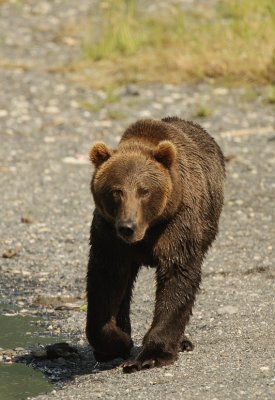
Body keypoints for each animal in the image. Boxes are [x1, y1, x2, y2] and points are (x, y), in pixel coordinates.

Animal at [87, 117, 226, 374]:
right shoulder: (110, 236)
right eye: (116, 191)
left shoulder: (177, 225)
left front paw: (150, 355)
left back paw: (183, 341)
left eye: (144, 190)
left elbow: (177, 277)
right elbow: (105, 282)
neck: (148, 230)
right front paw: (117, 342)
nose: (128, 226)